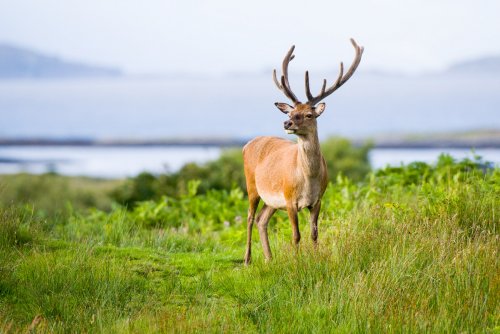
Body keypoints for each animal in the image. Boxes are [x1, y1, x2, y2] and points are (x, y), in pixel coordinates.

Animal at [242, 37, 364, 264]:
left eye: (309, 114)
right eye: (290, 112)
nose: (287, 123)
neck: (308, 179)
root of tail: (247, 145)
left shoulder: (318, 199)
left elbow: (314, 233)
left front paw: (315, 260)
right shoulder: (290, 199)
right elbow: (296, 235)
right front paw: (297, 262)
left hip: (271, 200)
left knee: (262, 220)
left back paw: (269, 258)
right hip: (251, 185)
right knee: (250, 217)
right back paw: (247, 259)